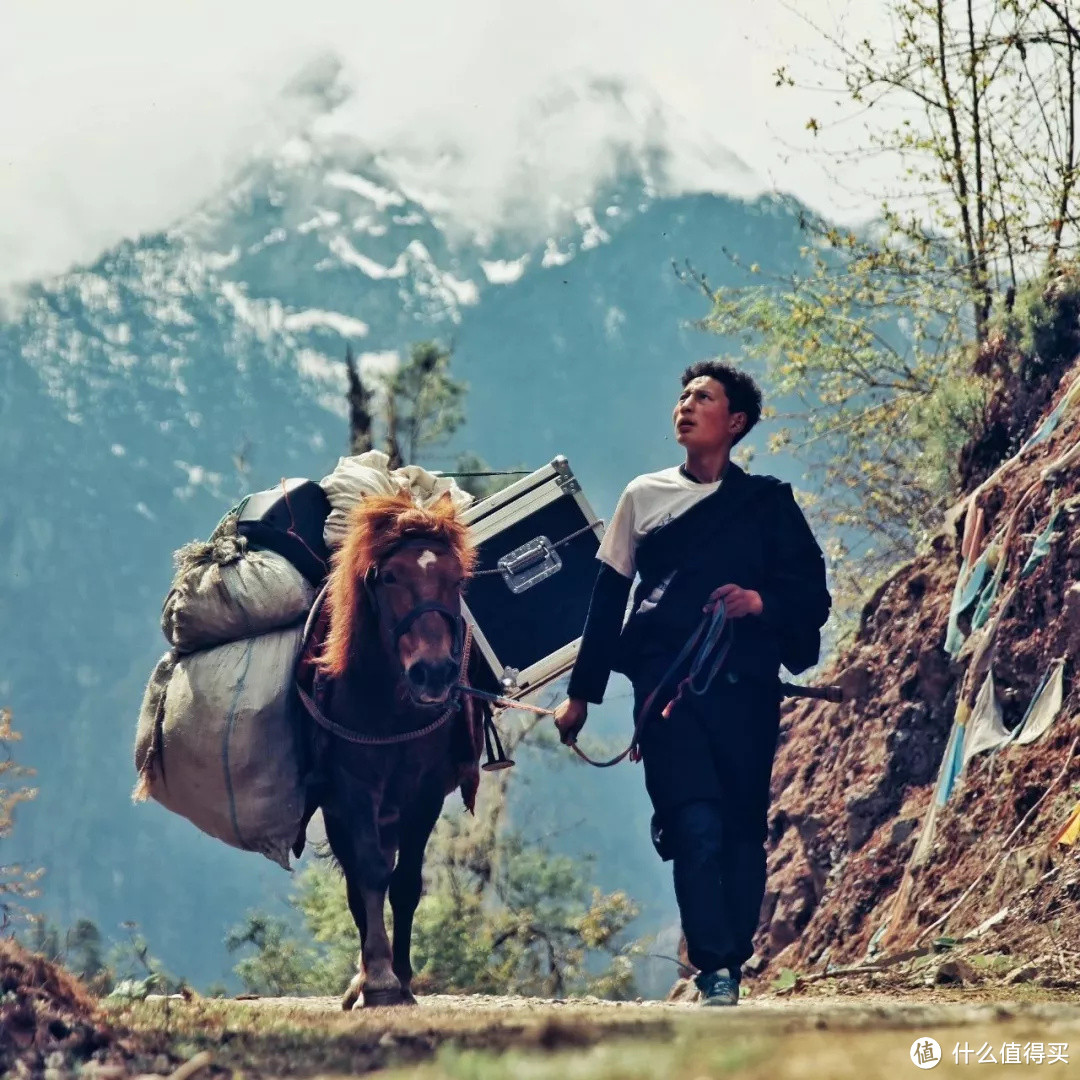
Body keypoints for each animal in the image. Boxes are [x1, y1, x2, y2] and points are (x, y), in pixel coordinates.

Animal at [291, 494, 486, 1006]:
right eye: (388, 577)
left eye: (457, 579)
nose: (434, 672)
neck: (392, 710)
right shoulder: (354, 789)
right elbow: (373, 875)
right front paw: (379, 977)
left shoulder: (424, 793)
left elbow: (406, 884)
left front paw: (402, 976)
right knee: (358, 883)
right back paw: (362, 978)